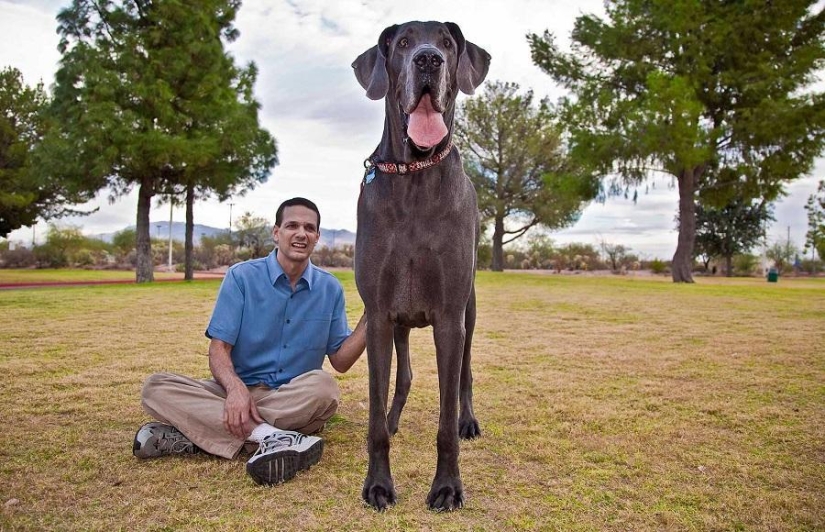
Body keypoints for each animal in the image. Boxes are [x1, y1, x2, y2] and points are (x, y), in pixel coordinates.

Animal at [350, 20, 490, 512]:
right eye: (403, 43)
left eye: (448, 43)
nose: (429, 58)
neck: (412, 175)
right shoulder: (378, 315)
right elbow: (375, 412)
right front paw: (378, 484)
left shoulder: (449, 317)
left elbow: (445, 420)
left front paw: (447, 487)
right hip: (400, 322)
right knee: (405, 376)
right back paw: (394, 419)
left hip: (469, 309)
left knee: (465, 373)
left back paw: (469, 420)